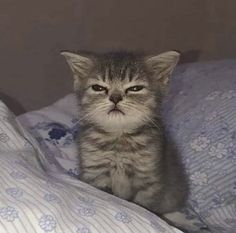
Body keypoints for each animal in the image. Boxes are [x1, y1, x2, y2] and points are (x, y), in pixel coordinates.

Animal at [61, 51, 187, 215]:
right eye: (98, 88)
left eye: (135, 88)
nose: (115, 97)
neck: (119, 137)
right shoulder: (95, 172)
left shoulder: (148, 179)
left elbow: (144, 207)